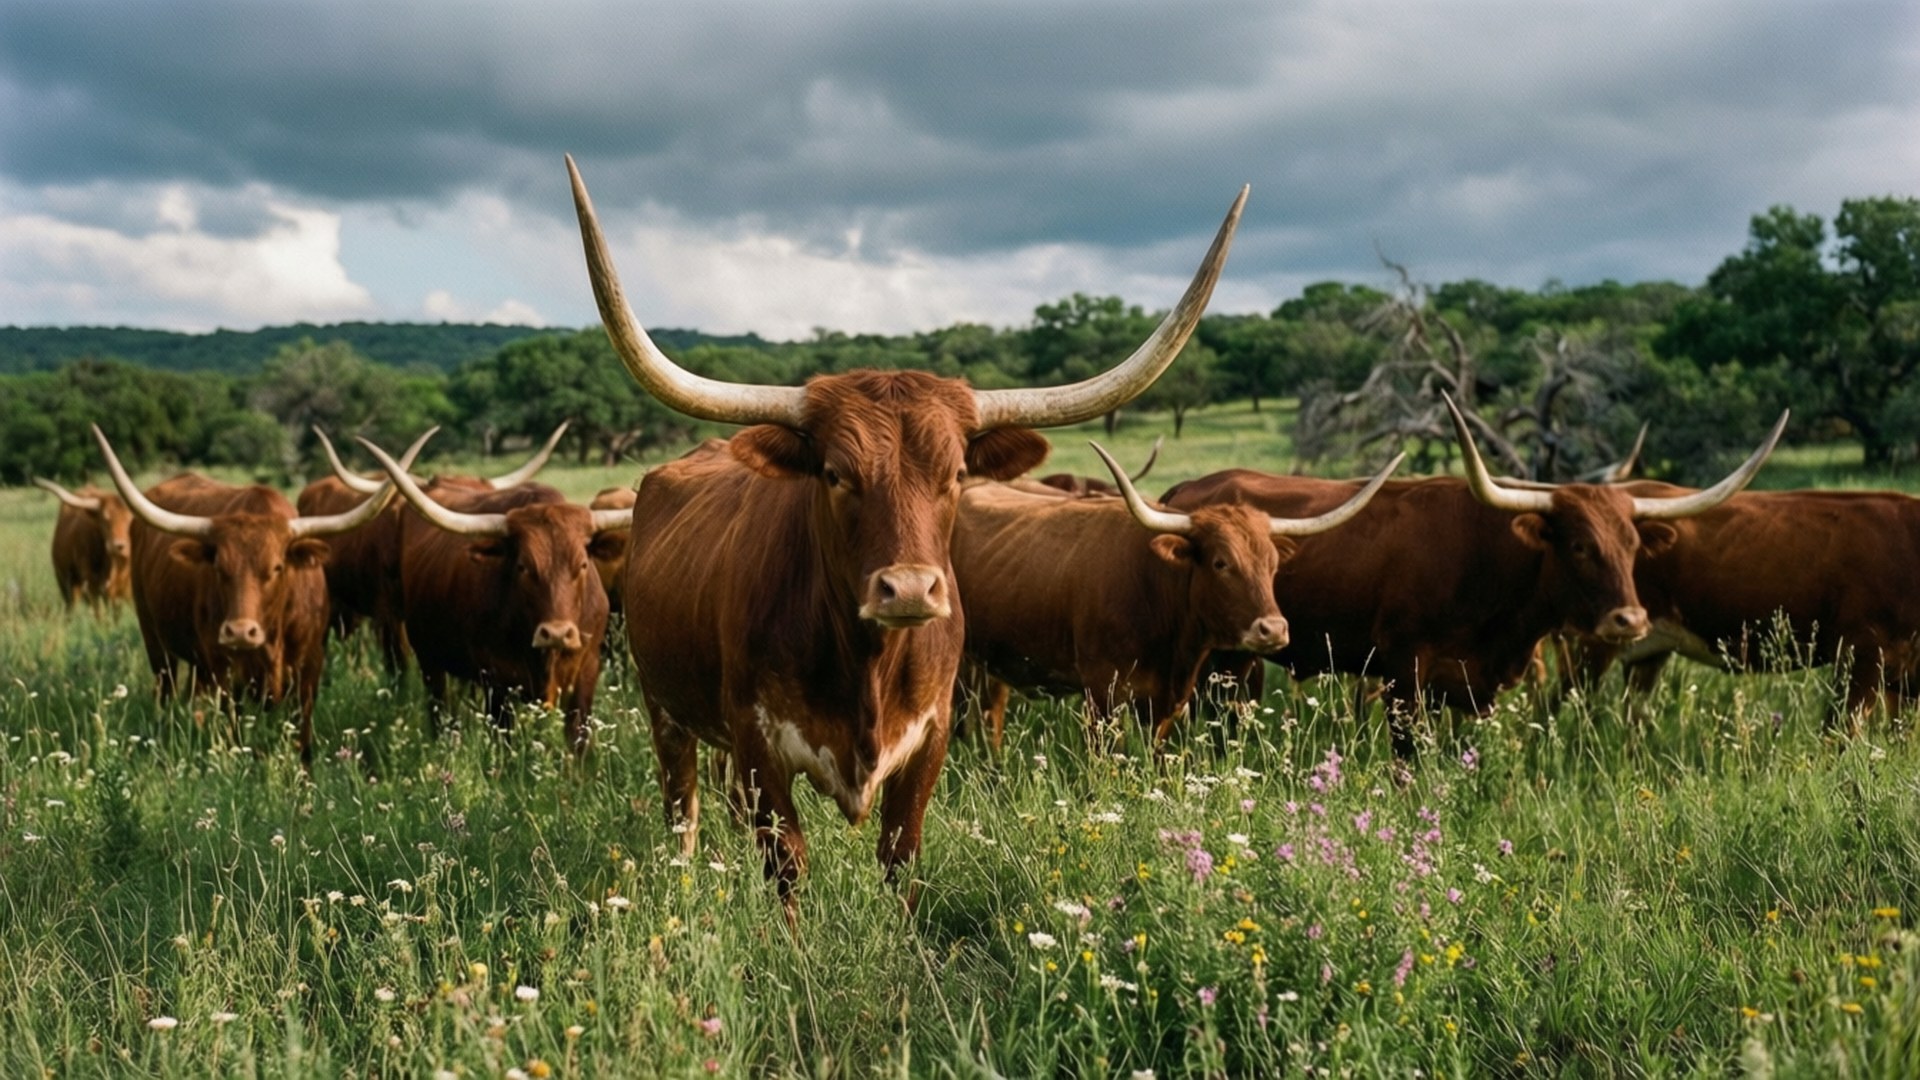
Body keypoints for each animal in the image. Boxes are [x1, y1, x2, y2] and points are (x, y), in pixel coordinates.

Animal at [91, 426, 397, 764]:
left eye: (277, 567)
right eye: (219, 567)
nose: (240, 632)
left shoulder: (310, 666)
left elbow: (303, 738)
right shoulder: (225, 672)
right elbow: (235, 731)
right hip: (155, 640)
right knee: (165, 692)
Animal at [357, 437, 631, 754]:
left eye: (583, 565)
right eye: (523, 566)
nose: (557, 634)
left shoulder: (587, 671)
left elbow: (578, 741)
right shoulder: (496, 680)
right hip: (428, 659)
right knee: (440, 712)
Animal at [567, 154, 1243, 905]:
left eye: (955, 473)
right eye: (835, 473)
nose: (911, 590)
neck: (866, 664)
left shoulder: (931, 739)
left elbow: (900, 856)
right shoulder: (757, 742)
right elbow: (787, 864)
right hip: (665, 710)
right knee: (682, 809)